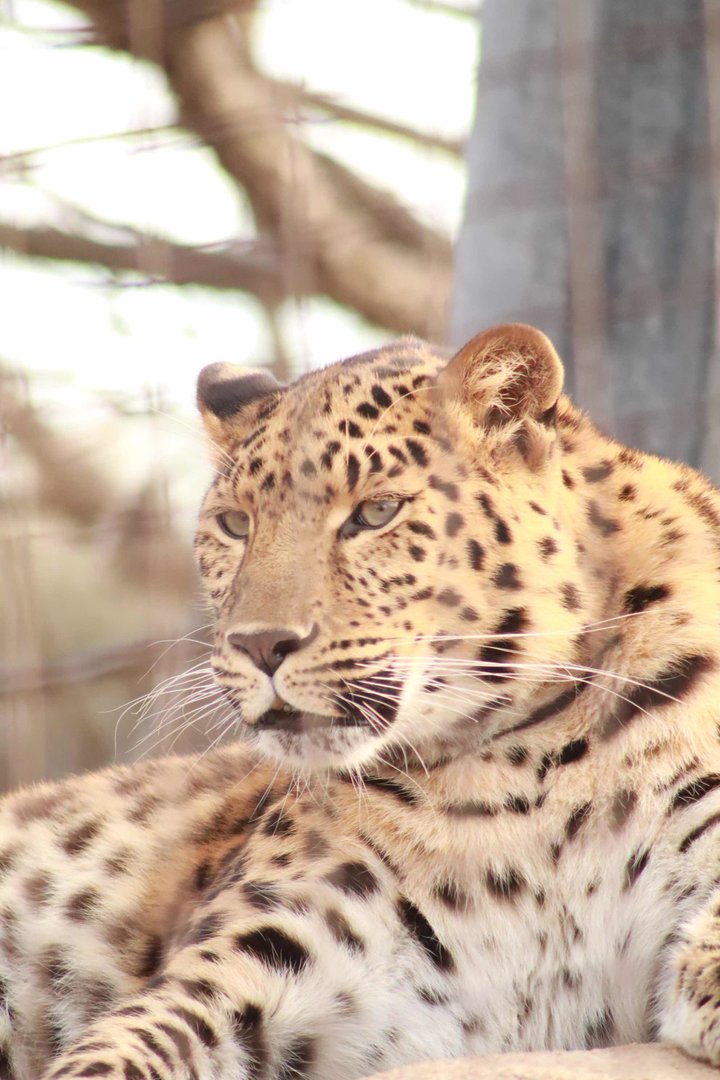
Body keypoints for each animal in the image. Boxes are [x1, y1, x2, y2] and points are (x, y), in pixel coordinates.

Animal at [3, 322, 720, 1080]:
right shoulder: (268, 949)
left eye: (375, 513)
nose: (260, 644)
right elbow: (126, 1045)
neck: (520, 776)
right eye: (235, 525)